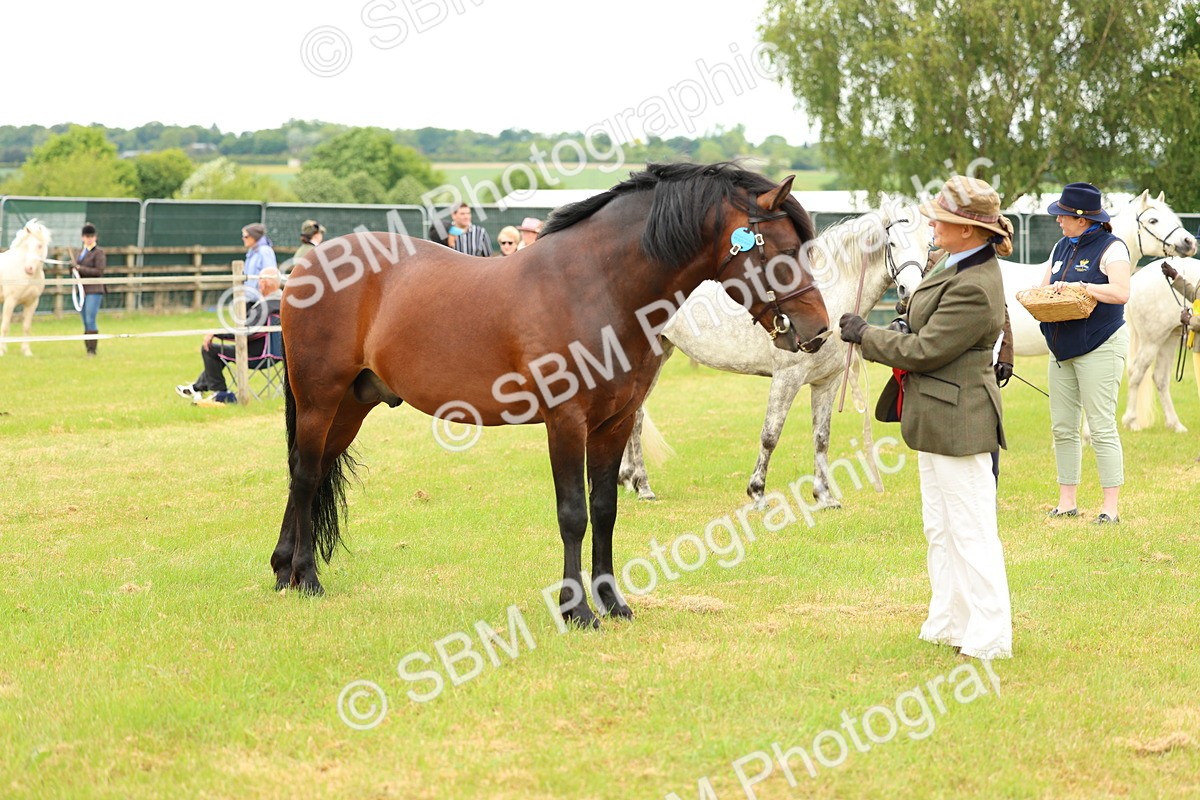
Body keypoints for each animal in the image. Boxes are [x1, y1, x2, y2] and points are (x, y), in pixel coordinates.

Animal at [0, 220, 51, 357]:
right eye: (27, 245)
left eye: (40, 245)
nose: (29, 269)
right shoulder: (10, 301)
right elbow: (5, 325)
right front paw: (1, 351)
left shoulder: (32, 303)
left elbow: (26, 327)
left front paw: (26, 351)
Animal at [274, 162, 830, 627]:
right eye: (782, 250)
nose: (819, 330)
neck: (596, 286)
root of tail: (308, 264)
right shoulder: (567, 422)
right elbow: (573, 515)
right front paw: (576, 610)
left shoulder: (615, 423)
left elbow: (604, 509)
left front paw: (613, 603)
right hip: (320, 400)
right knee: (305, 474)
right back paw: (307, 578)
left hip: (352, 406)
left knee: (313, 470)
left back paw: (283, 572)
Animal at [618, 197, 932, 508]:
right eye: (892, 243)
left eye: (928, 244)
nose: (909, 292)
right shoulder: (787, 378)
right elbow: (770, 435)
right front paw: (757, 493)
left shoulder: (827, 382)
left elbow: (821, 437)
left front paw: (824, 496)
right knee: (636, 416)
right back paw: (643, 486)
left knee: (635, 415)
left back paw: (631, 481)